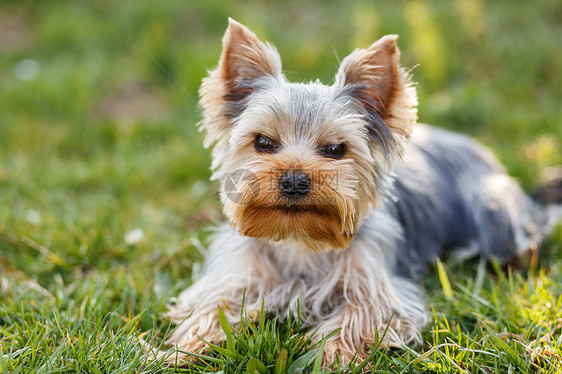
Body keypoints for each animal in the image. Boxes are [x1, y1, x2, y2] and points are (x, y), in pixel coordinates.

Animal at [161, 19, 556, 366]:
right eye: (263, 142)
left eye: (336, 149)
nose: (294, 180)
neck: (299, 238)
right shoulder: (236, 274)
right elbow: (211, 306)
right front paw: (179, 350)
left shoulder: (378, 286)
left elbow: (359, 315)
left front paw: (329, 355)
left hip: (492, 210)